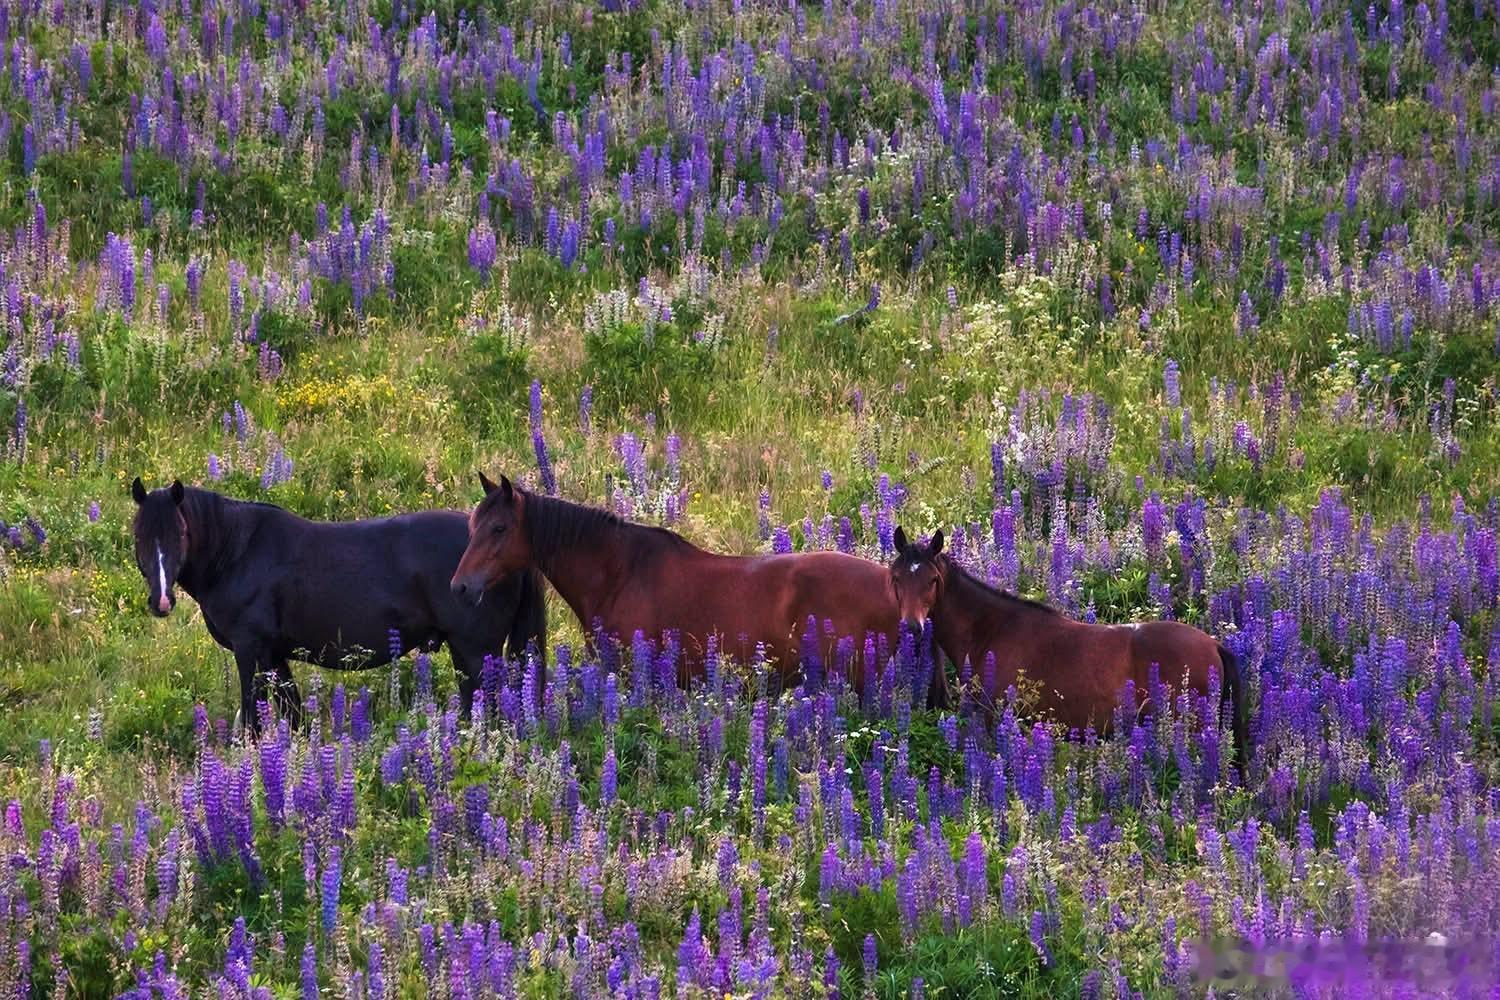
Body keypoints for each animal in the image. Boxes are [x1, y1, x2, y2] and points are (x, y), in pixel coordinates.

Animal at [131, 478, 546, 734]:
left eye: (181, 533)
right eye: (139, 534)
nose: (161, 600)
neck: (238, 553)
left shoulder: (250, 653)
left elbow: (252, 722)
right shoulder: (274, 657)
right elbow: (295, 718)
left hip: (475, 651)